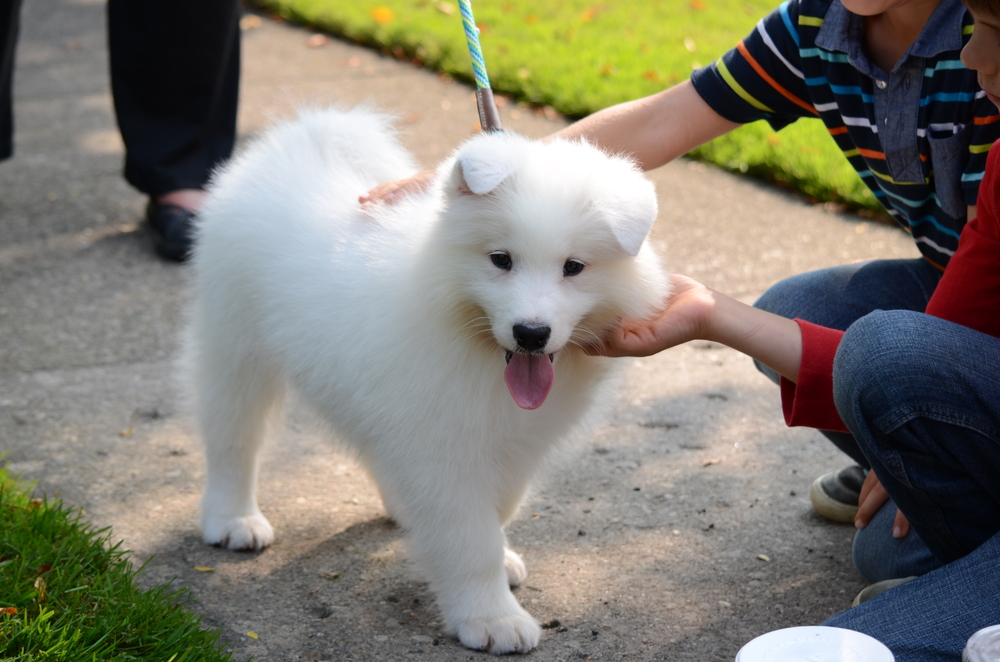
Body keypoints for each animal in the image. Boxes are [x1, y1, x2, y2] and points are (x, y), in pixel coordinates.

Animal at [188, 107, 672, 652]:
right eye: (500, 259)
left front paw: (498, 563)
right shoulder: (443, 448)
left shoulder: (514, 442)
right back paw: (232, 519)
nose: (530, 333)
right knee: (234, 437)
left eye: (574, 267)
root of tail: (302, 140)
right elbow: (470, 537)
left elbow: (499, 508)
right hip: (234, 342)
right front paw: (492, 619)